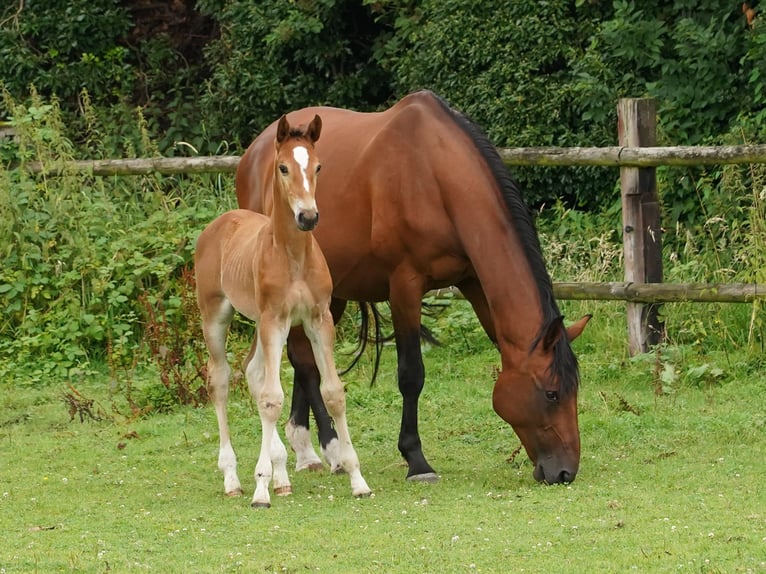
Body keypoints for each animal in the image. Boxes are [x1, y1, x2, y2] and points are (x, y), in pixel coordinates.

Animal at [196, 116, 374, 508]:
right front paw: (260, 488)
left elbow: (332, 392)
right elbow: (272, 399)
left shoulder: (318, 319)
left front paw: (357, 478)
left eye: (318, 166)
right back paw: (234, 478)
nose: (307, 217)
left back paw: (280, 475)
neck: (292, 256)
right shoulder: (275, 320)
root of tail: (219, 222)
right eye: (282, 167)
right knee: (221, 380)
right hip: (216, 316)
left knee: (254, 371)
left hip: (260, 323)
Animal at [237, 91, 592, 486]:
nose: (564, 471)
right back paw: (330, 447)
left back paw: (306, 449)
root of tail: (255, 150)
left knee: (306, 358)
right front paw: (416, 459)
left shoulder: (473, 281)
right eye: (551, 393)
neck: (435, 177)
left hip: (327, 293)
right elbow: (411, 375)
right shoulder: (404, 286)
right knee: (305, 361)